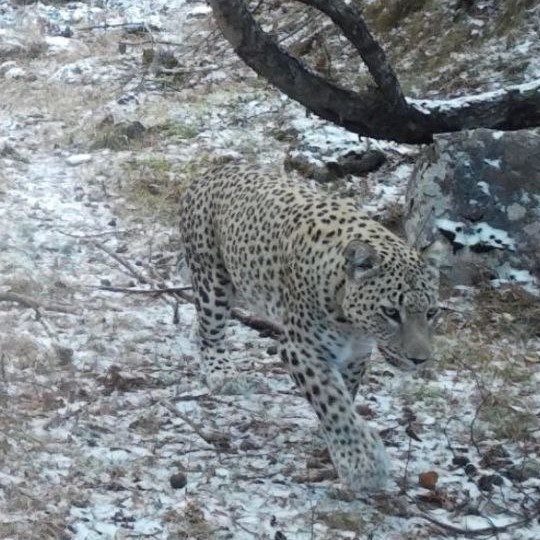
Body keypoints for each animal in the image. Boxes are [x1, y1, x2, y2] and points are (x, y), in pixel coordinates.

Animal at [179, 161, 440, 494]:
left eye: (431, 312)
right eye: (391, 312)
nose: (420, 360)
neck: (353, 324)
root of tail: (214, 170)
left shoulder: (356, 355)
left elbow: (346, 393)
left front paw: (332, 437)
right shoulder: (301, 350)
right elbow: (332, 401)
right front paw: (362, 465)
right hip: (213, 277)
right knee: (211, 325)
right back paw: (221, 372)